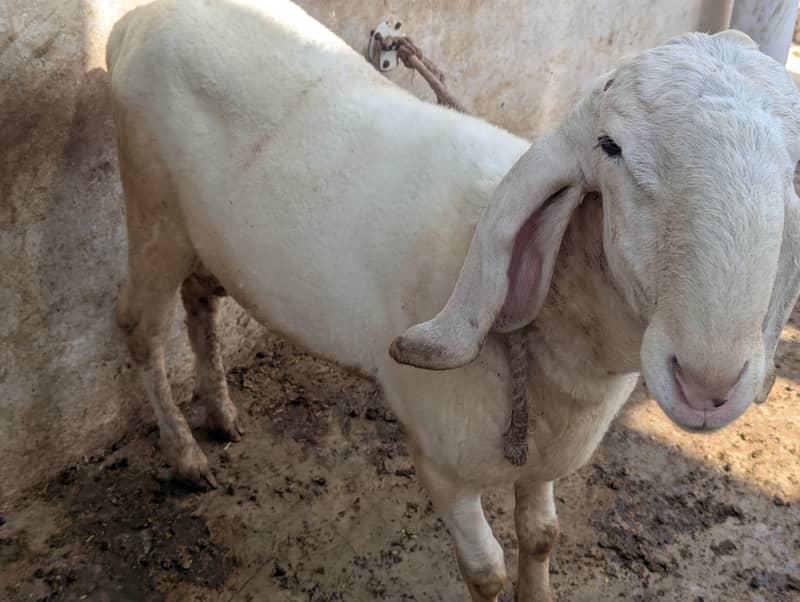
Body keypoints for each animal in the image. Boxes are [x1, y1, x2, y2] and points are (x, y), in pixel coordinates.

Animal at [106, 0, 800, 600]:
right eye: (611, 147)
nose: (708, 384)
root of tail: (141, 16)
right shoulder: (441, 464)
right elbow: (486, 571)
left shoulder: (544, 458)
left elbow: (542, 537)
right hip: (151, 204)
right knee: (138, 326)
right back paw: (185, 455)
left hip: (204, 234)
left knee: (200, 300)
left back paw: (220, 412)